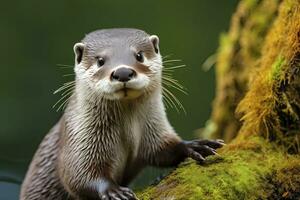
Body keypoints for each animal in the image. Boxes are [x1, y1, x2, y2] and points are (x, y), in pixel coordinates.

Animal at [19, 28, 224, 200]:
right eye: (100, 61)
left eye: (139, 56)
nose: (123, 72)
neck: (128, 131)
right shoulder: (78, 141)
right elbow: (78, 176)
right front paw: (113, 190)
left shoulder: (154, 131)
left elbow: (164, 149)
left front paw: (195, 146)